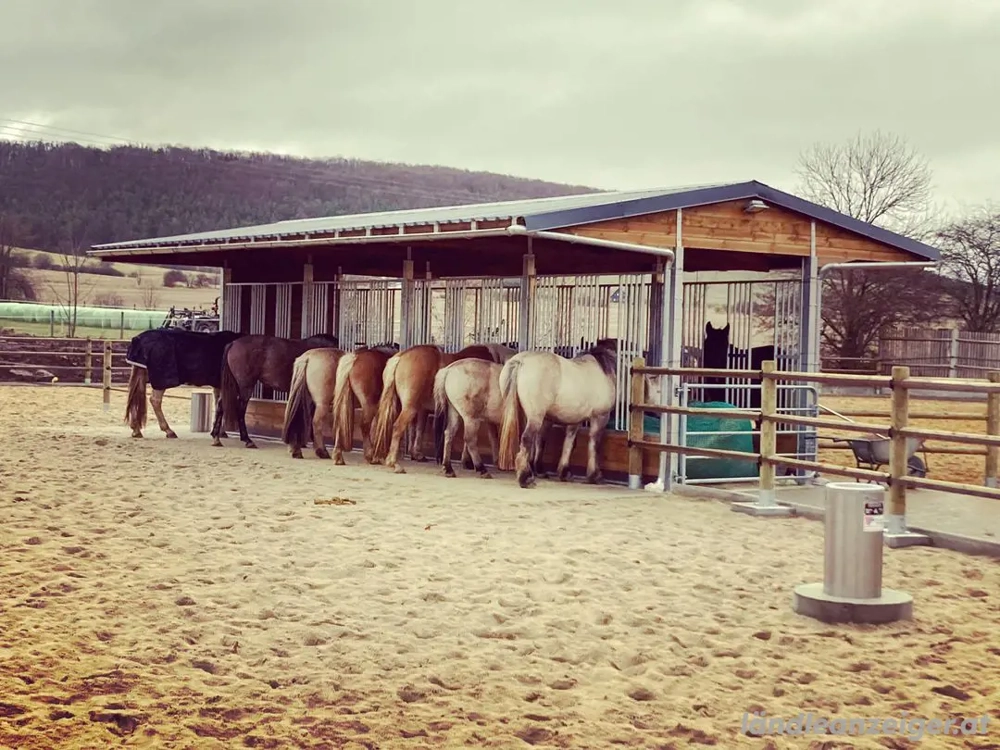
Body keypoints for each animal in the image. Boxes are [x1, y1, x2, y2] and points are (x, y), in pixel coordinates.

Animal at [370, 343, 516, 473]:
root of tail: (401, 357)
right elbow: (491, 437)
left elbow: (418, 429)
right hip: (409, 407)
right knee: (397, 427)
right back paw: (393, 463)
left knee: (378, 425)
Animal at [497, 339, 618, 488]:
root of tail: (521, 361)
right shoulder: (600, 416)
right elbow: (594, 444)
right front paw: (595, 476)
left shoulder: (574, 419)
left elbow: (568, 442)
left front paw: (564, 472)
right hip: (535, 416)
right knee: (527, 439)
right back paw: (525, 478)